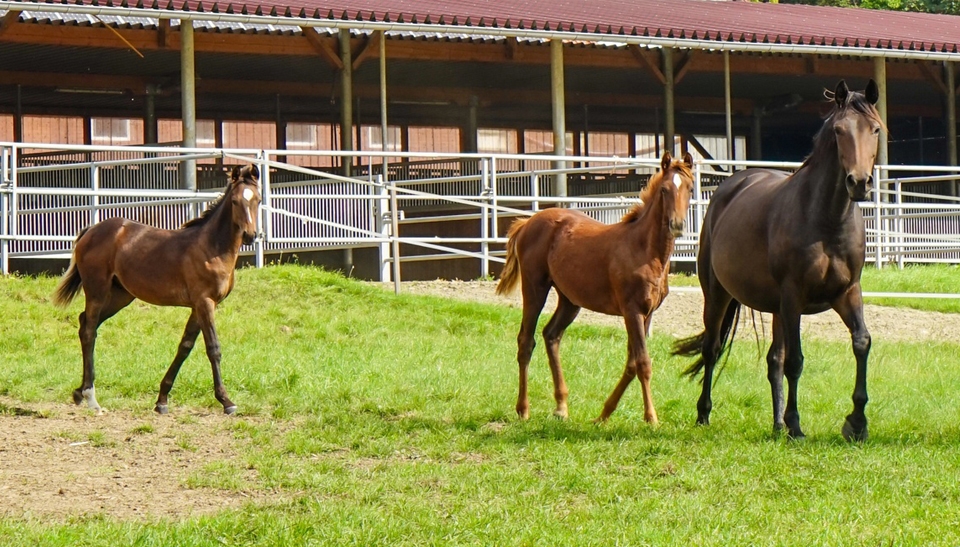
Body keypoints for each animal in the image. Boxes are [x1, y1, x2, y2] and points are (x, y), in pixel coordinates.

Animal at [51, 165, 262, 414]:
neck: (211, 248)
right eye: (235, 202)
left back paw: (79, 392)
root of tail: (92, 229)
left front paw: (162, 400)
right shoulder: (205, 302)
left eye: (258, 200)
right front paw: (226, 401)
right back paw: (92, 397)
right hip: (97, 290)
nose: (250, 235)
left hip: (120, 296)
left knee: (84, 323)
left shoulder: (197, 306)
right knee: (89, 331)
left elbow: (185, 347)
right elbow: (213, 348)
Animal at [498, 153, 692, 424]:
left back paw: (561, 407)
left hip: (570, 300)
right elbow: (643, 362)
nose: (677, 224)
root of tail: (527, 222)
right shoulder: (632, 311)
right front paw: (651, 418)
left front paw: (604, 414)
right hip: (535, 288)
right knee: (526, 341)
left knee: (551, 335)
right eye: (664, 190)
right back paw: (523, 409)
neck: (644, 249)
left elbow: (631, 364)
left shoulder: (647, 313)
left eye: (690, 188)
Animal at [672, 80, 880, 440]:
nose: (858, 182)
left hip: (776, 309)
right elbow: (796, 361)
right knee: (712, 349)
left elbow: (861, 342)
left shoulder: (847, 293)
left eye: (876, 129)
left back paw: (776, 424)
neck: (827, 219)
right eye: (839, 130)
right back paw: (705, 414)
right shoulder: (794, 296)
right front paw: (796, 424)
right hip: (718, 294)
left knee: (773, 360)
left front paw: (856, 422)